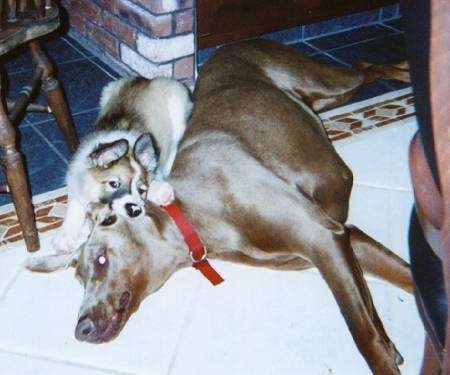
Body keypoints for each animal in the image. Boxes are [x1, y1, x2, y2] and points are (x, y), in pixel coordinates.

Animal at [52, 76, 192, 254]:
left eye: (142, 189)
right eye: (114, 184)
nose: (135, 210)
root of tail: (145, 79)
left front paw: (160, 191)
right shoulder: (75, 183)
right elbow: (74, 208)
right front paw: (66, 235)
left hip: (178, 108)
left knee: (174, 145)